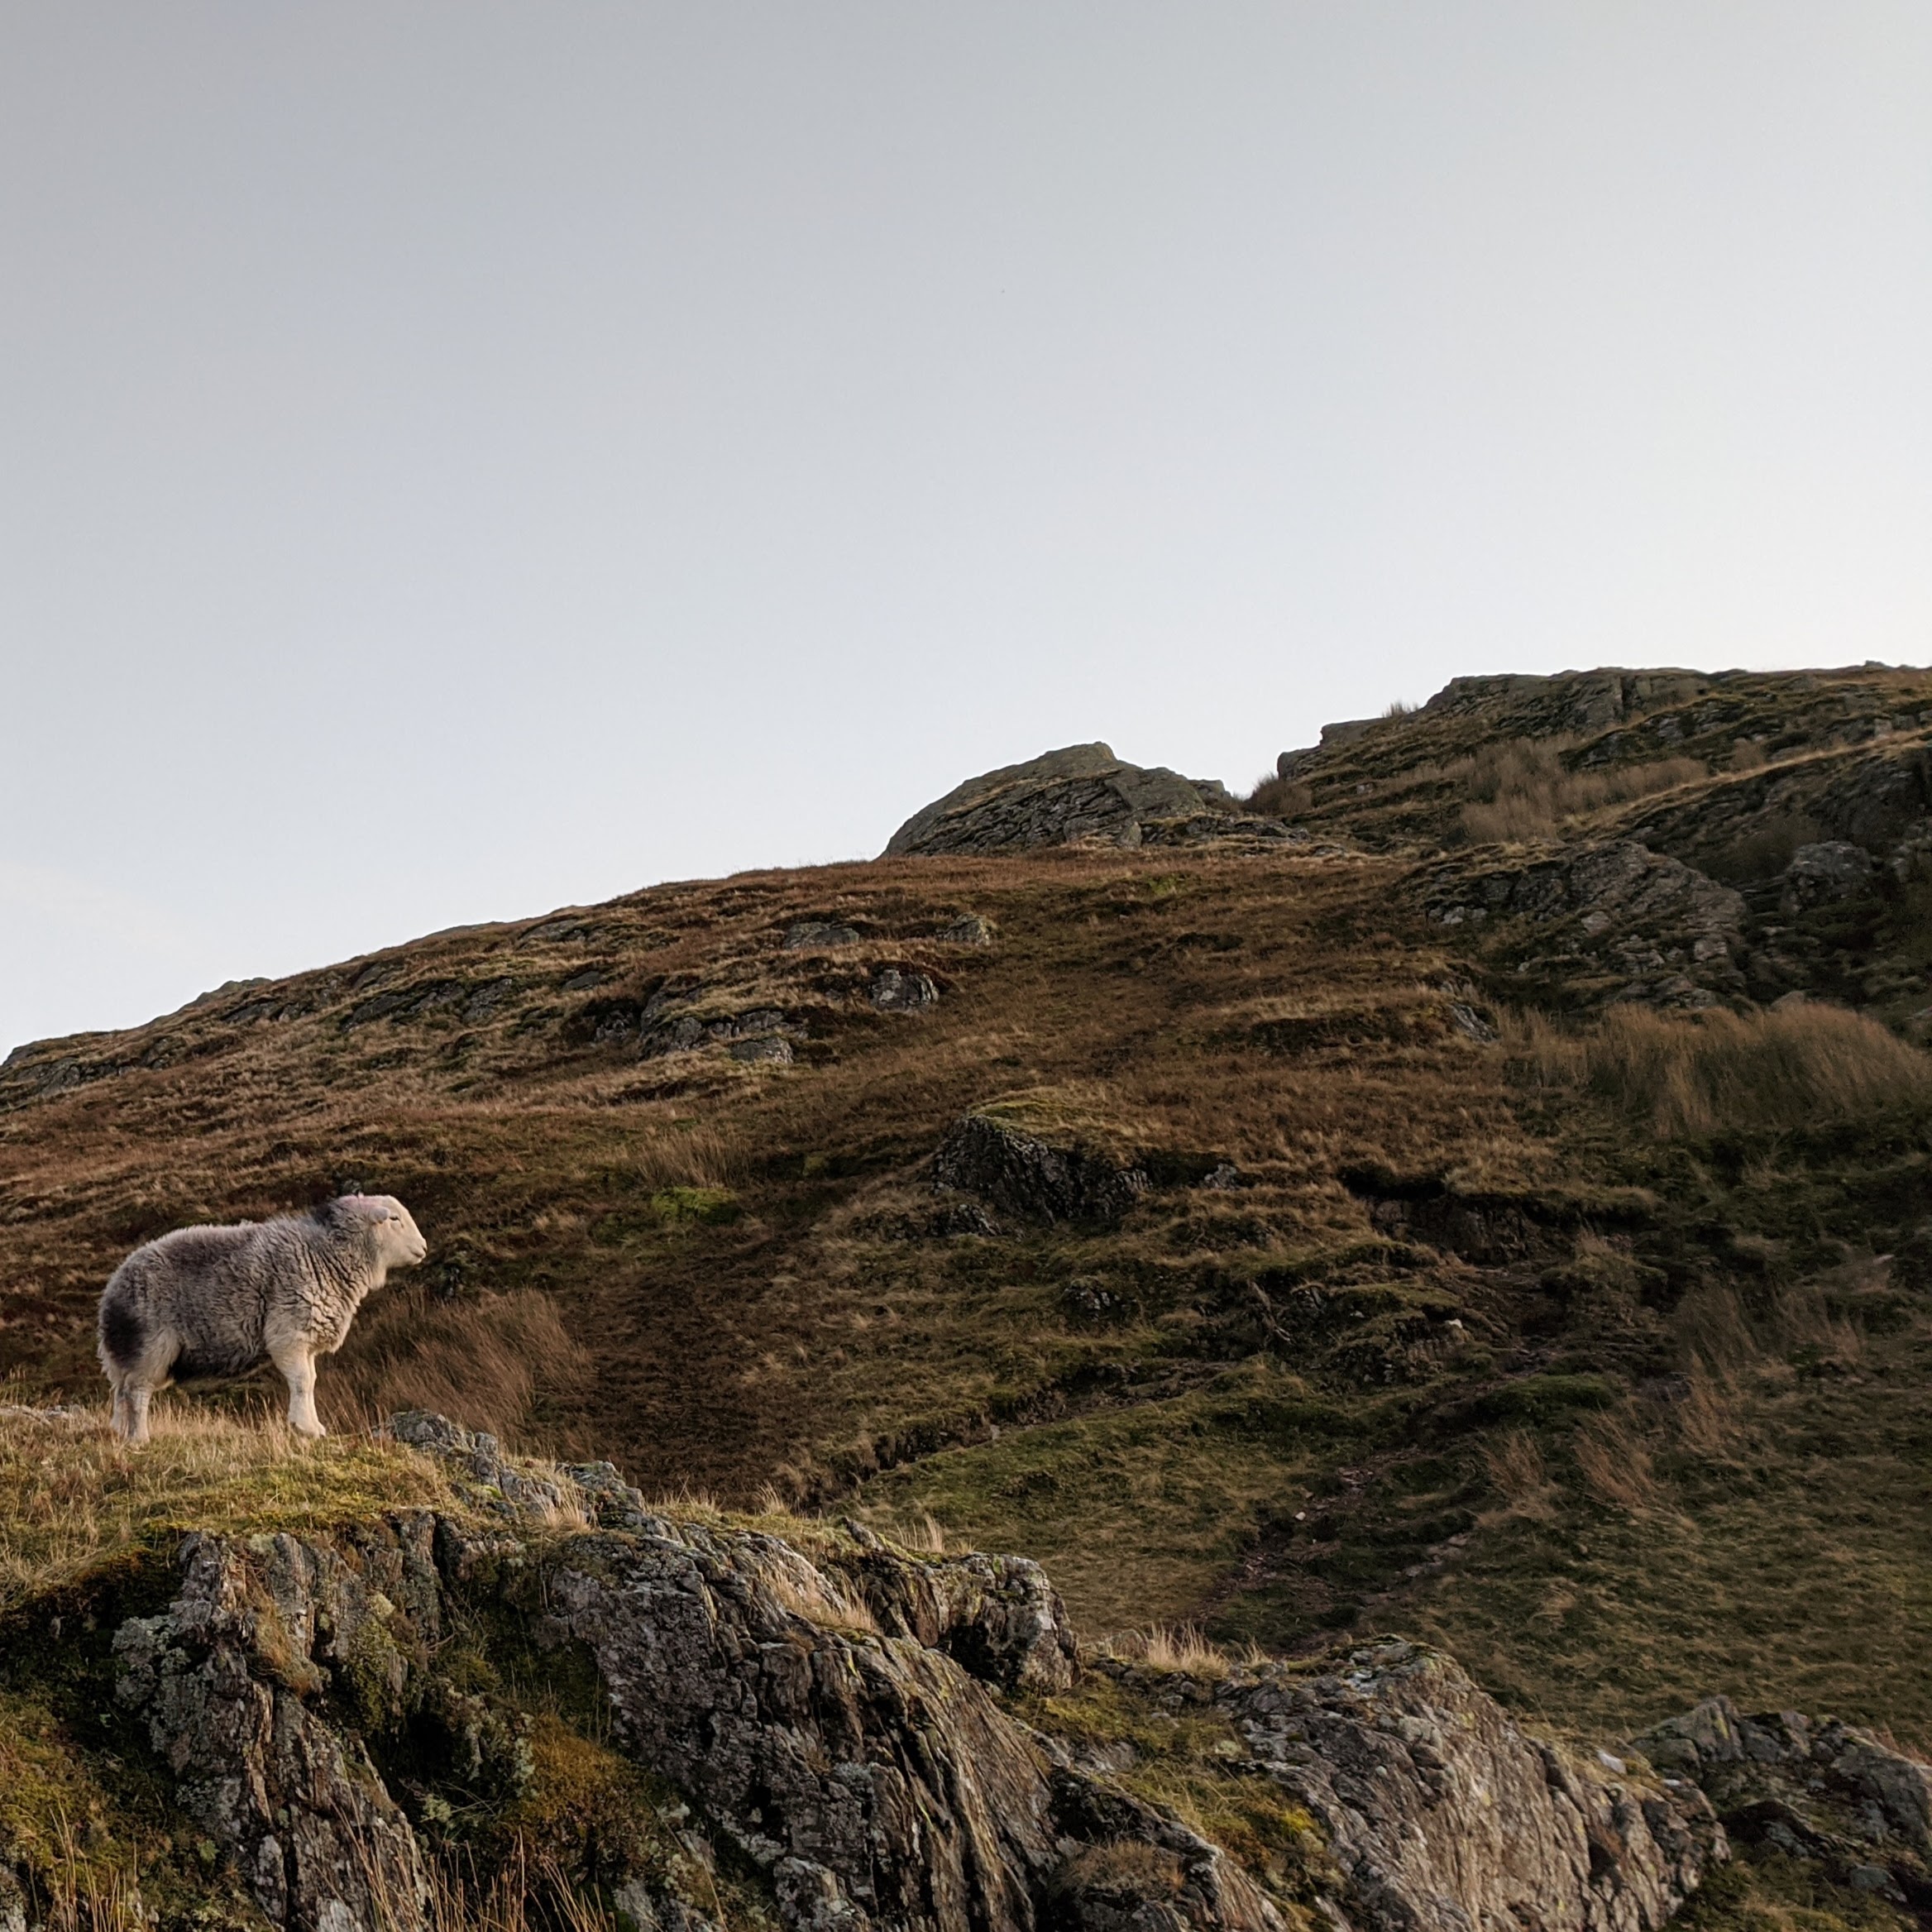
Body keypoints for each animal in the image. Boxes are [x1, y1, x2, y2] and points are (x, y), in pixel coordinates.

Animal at [96, 1194, 427, 1443]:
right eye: (394, 1219)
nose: (424, 1248)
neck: (325, 1254)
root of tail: (112, 1290)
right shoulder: (288, 1334)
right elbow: (302, 1382)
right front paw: (304, 1427)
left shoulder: (306, 1340)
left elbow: (311, 1381)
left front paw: (314, 1427)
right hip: (150, 1346)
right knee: (137, 1392)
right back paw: (140, 1438)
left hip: (127, 1354)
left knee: (120, 1392)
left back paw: (121, 1433)